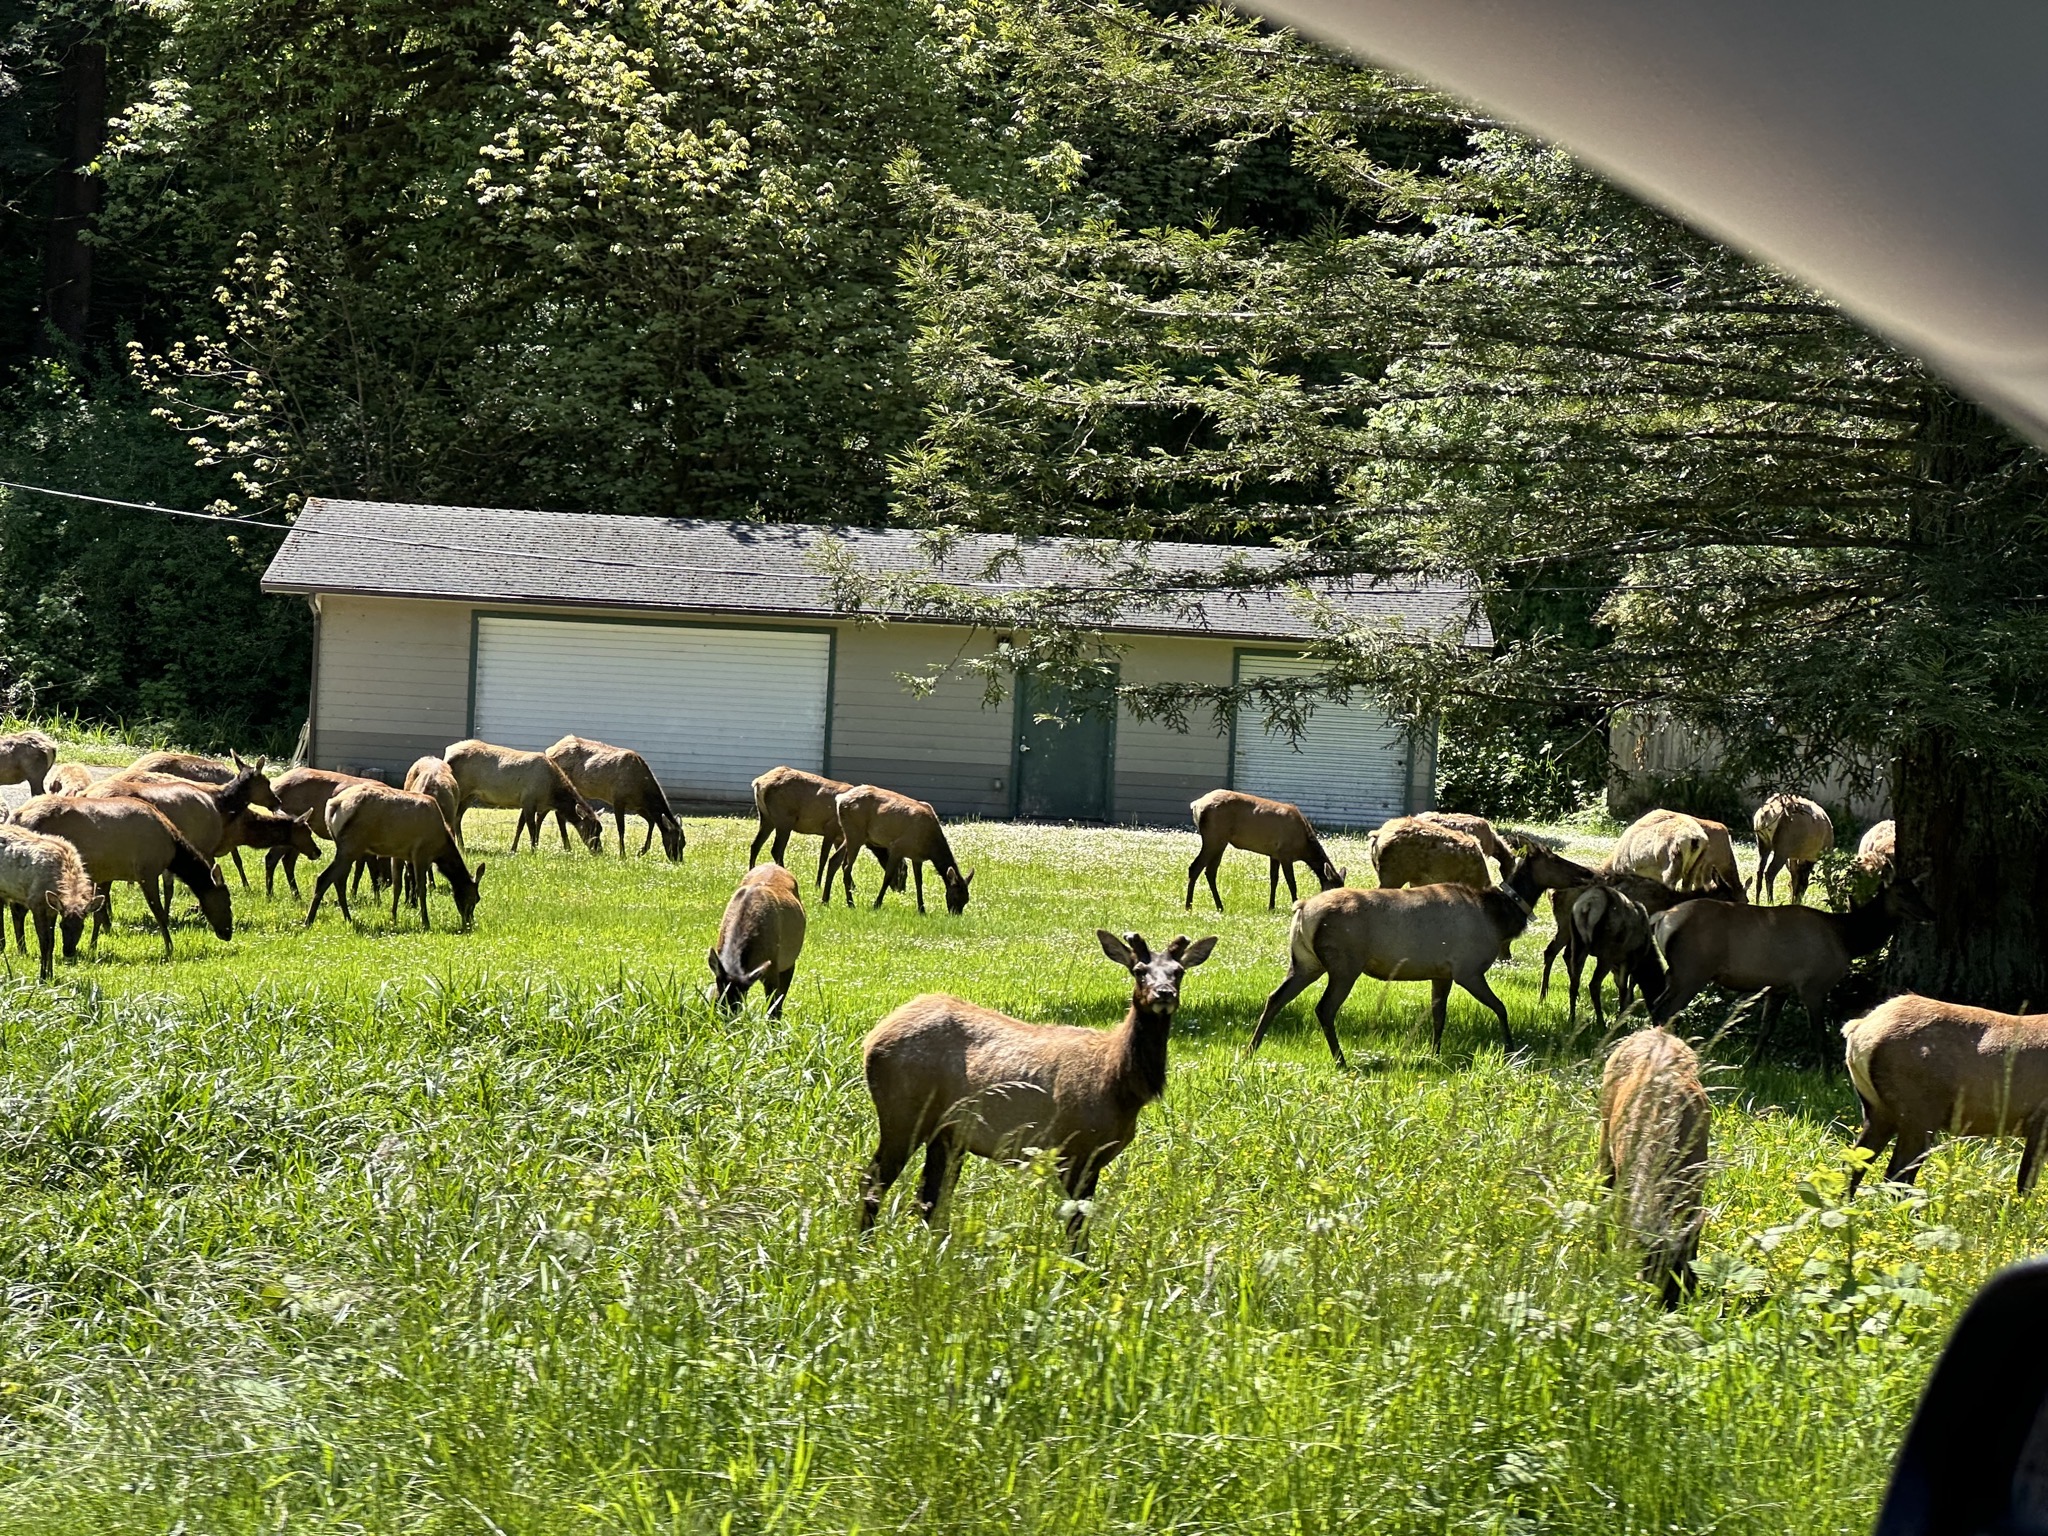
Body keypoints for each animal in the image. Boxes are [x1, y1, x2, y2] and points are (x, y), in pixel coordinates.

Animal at [859, 929, 1216, 1244]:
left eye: (1178, 971)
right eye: (1140, 971)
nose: (1164, 994)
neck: (1120, 1086)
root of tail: (872, 1039)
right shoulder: (1074, 1149)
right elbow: (1076, 1225)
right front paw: (1077, 1272)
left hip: (946, 1132)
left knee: (929, 1199)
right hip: (902, 1112)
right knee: (874, 1180)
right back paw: (864, 1245)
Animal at [1184, 789, 1345, 912]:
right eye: (1333, 889)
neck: (1303, 846)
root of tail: (1196, 805)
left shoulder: (1274, 855)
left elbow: (1274, 879)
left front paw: (1271, 907)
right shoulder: (1285, 853)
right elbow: (1291, 883)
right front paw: (1295, 906)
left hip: (1220, 841)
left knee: (1210, 871)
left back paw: (1219, 906)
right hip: (1214, 837)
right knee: (1195, 867)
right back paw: (1189, 907)